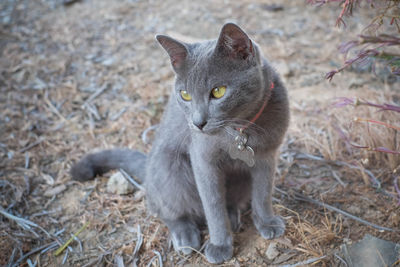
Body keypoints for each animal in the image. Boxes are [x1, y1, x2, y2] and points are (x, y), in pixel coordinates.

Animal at [72, 23, 290, 266]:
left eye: (218, 91)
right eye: (185, 95)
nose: (198, 123)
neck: (242, 128)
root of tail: (148, 166)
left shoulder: (266, 155)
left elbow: (262, 193)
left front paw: (268, 223)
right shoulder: (202, 160)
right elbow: (212, 205)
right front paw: (220, 245)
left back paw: (233, 215)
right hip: (169, 169)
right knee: (167, 209)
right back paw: (186, 236)